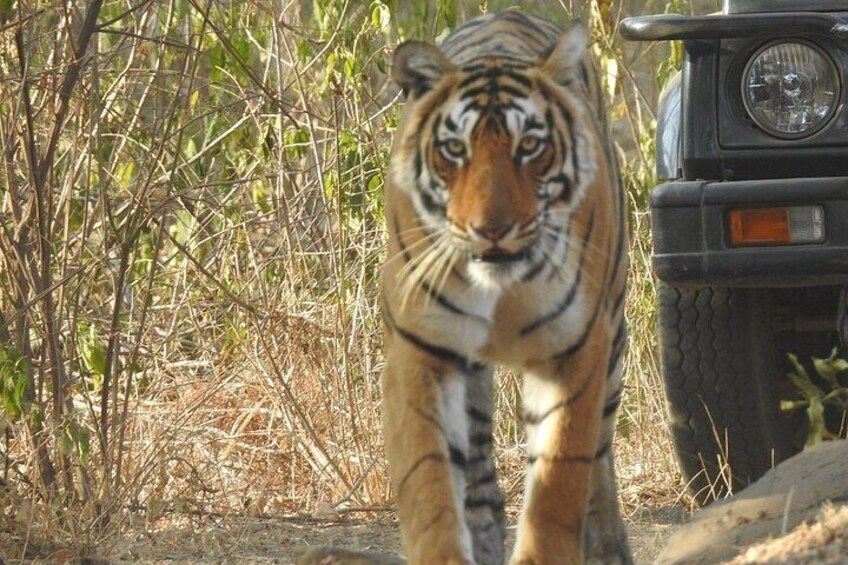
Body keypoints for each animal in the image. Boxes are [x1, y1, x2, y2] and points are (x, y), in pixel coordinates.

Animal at [378, 8, 628, 564]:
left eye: (529, 146)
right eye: (455, 150)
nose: (491, 229)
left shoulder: (576, 349)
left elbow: (560, 476)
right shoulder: (420, 348)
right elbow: (427, 479)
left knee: (600, 460)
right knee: (477, 476)